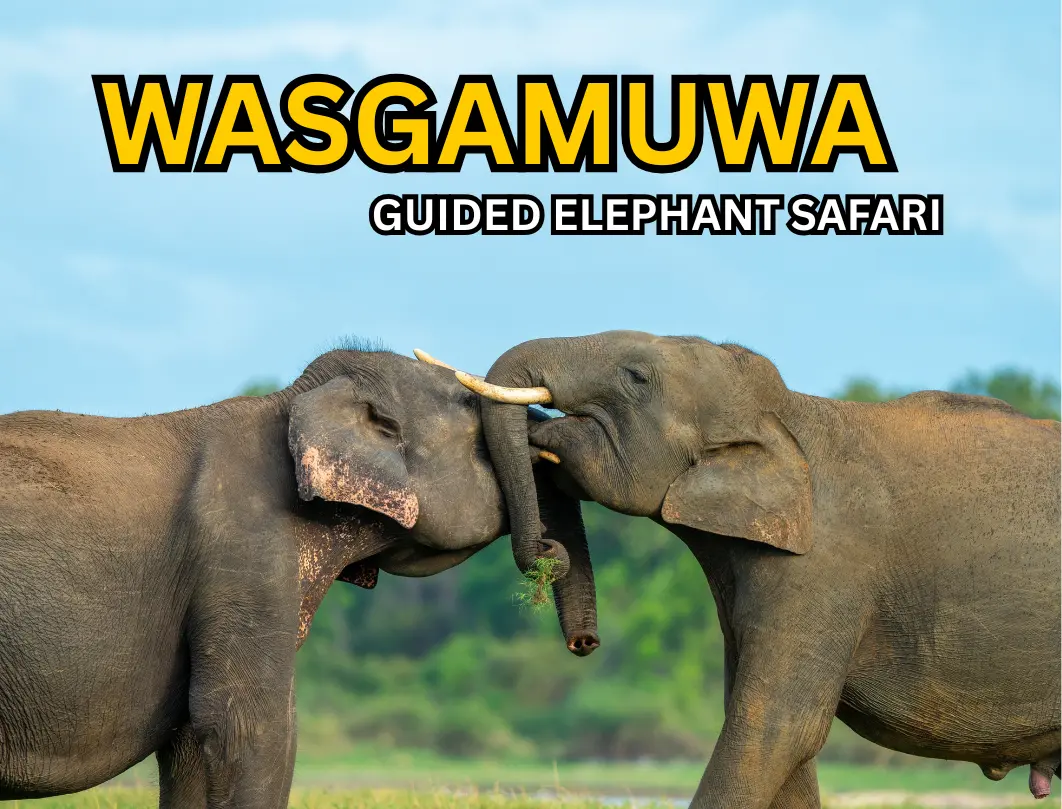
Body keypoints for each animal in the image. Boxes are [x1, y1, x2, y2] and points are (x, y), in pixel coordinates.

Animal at [0, 346, 599, 807]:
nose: (584, 644)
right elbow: (245, 726)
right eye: (473, 410)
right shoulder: (246, 550)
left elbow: (192, 738)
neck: (292, 402)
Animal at [421, 330, 1061, 809]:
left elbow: (774, 729)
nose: (584, 644)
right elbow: (778, 744)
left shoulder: (824, 570)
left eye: (637, 378)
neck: (787, 413)